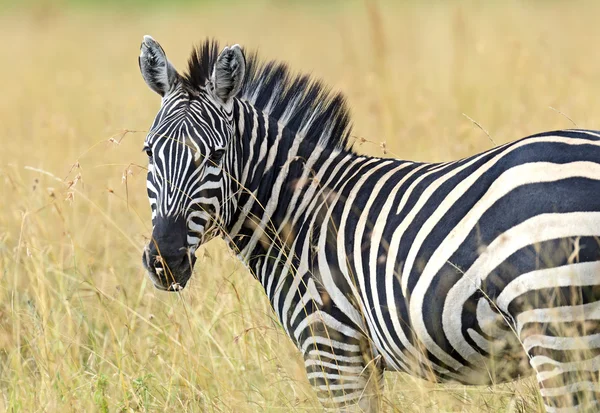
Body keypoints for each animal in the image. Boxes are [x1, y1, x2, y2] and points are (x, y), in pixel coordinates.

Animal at [138, 36, 600, 412]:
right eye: (148, 152)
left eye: (215, 156)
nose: (165, 260)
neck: (301, 214)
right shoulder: (360, 359)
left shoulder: (332, 352)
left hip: (556, 328)